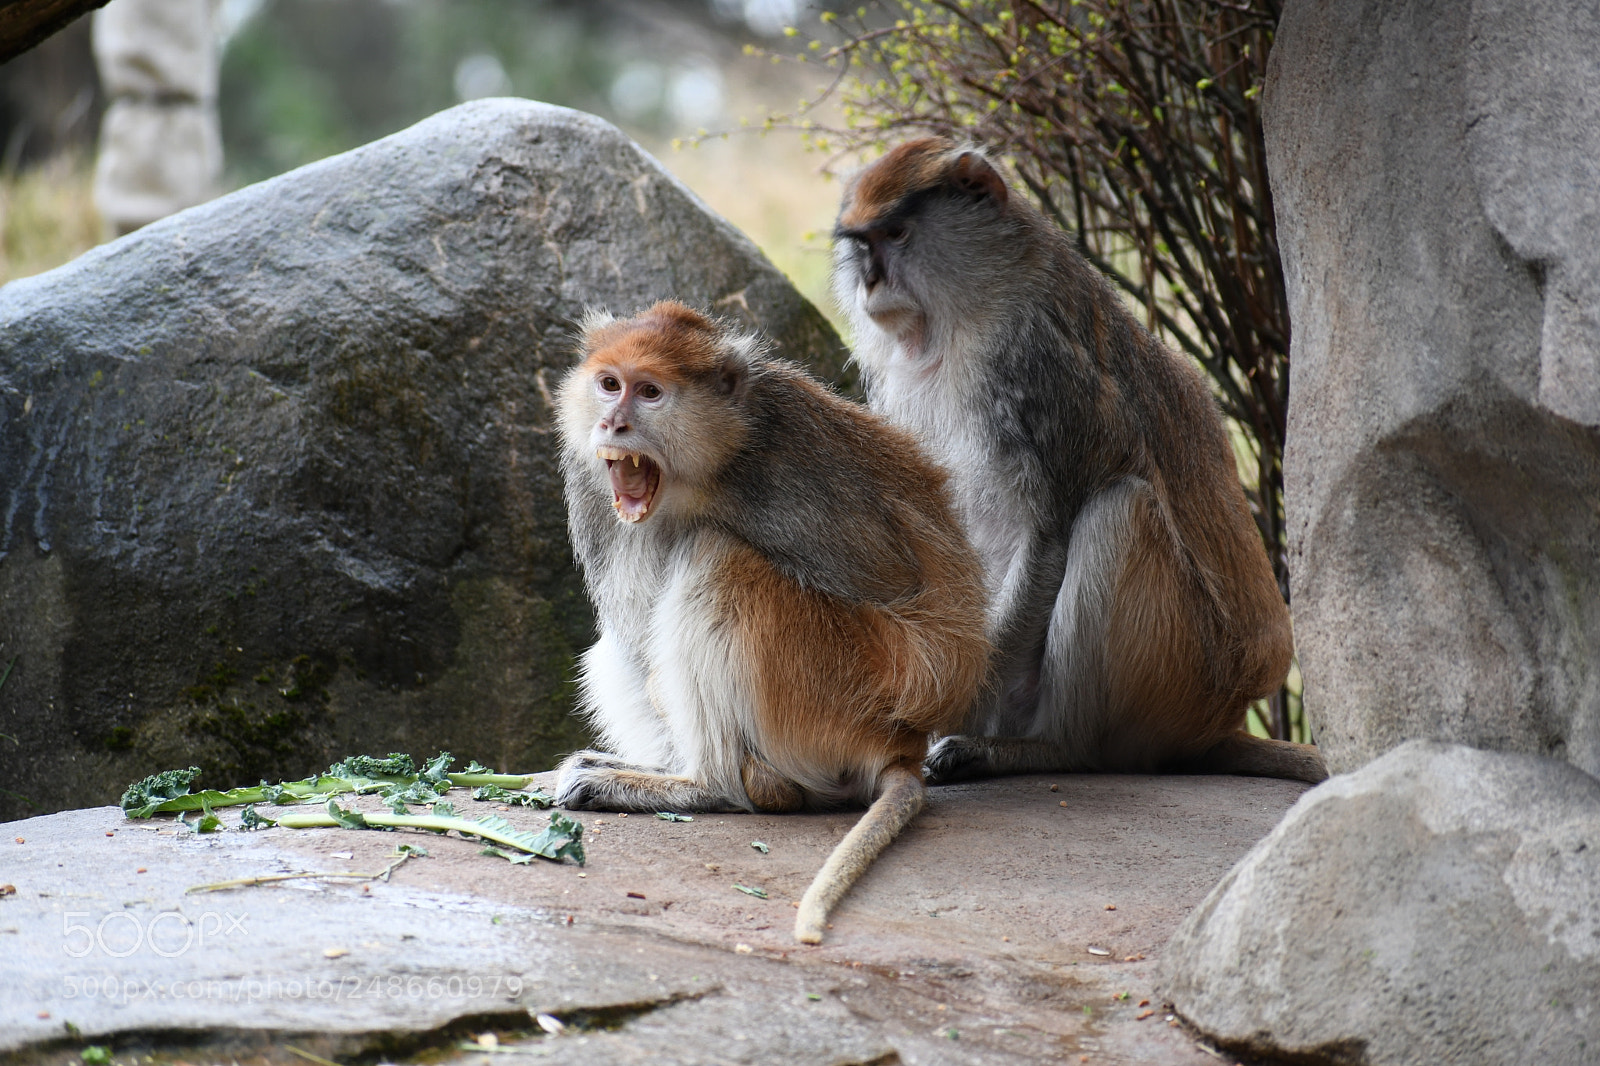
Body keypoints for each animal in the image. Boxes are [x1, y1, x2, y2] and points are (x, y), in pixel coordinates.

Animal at [552, 300, 990, 944]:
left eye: (650, 392)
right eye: (609, 384)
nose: (612, 424)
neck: (712, 461)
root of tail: (900, 747)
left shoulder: (792, 470)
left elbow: (901, 589)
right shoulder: (594, 491)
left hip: (840, 687)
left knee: (717, 556)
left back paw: (710, 786)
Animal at [830, 137, 1327, 786]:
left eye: (897, 234)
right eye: (862, 244)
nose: (870, 282)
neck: (975, 301)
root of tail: (1217, 725)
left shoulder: (1035, 368)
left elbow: (1048, 534)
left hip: (1181, 681)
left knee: (1120, 511)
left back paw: (1054, 748)